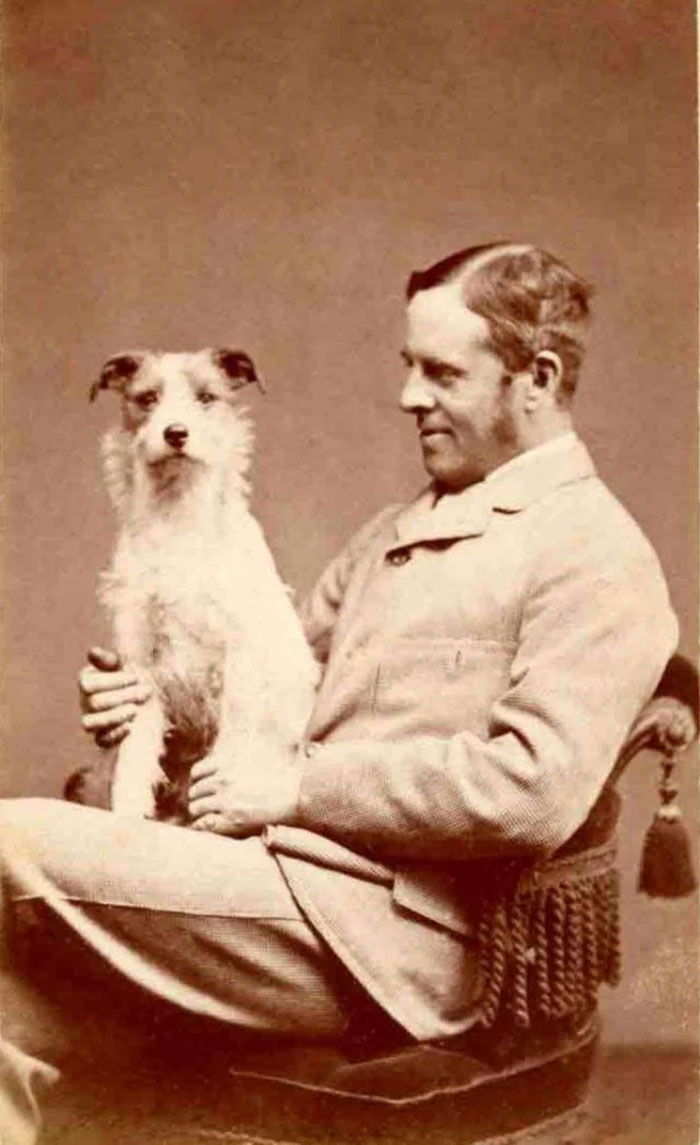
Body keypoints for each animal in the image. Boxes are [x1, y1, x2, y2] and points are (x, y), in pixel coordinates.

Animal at [70, 348, 318, 824]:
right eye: (147, 398)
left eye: (206, 397)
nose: (176, 433)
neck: (178, 519)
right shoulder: (140, 663)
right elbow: (135, 754)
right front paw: (128, 818)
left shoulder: (240, 658)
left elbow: (234, 738)